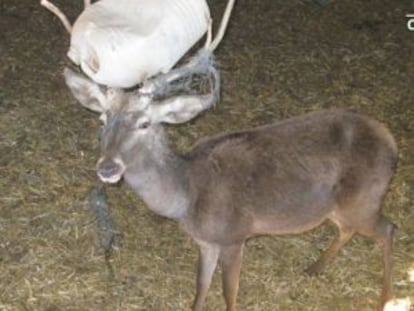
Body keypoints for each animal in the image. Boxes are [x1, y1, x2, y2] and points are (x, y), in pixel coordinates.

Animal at [64, 67, 398, 311]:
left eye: (144, 124)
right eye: (102, 118)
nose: (108, 168)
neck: (187, 196)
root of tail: (390, 142)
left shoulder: (234, 236)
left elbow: (228, 292)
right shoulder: (205, 241)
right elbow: (200, 287)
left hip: (366, 198)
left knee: (388, 228)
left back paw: (384, 298)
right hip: (339, 206)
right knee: (348, 229)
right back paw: (313, 268)